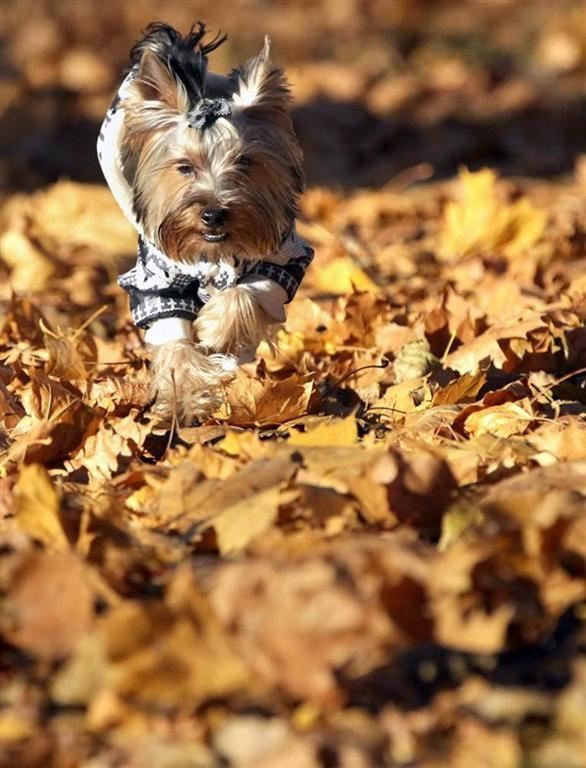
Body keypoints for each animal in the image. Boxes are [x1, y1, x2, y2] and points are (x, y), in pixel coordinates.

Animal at [98, 24, 312, 424]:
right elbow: (175, 341)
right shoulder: (155, 278)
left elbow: (245, 293)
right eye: (184, 167)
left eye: (245, 161)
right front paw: (188, 398)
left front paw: (217, 329)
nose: (213, 213)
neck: (214, 251)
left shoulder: (285, 254)